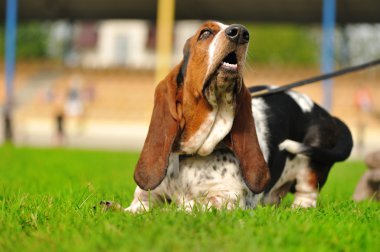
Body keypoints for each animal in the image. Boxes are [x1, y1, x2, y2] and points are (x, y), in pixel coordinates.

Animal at [123, 20, 352, 212]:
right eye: (205, 33)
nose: (241, 32)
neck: (193, 154)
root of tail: (326, 114)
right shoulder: (144, 198)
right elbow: (136, 208)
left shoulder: (225, 198)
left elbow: (192, 206)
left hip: (309, 168)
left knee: (307, 196)